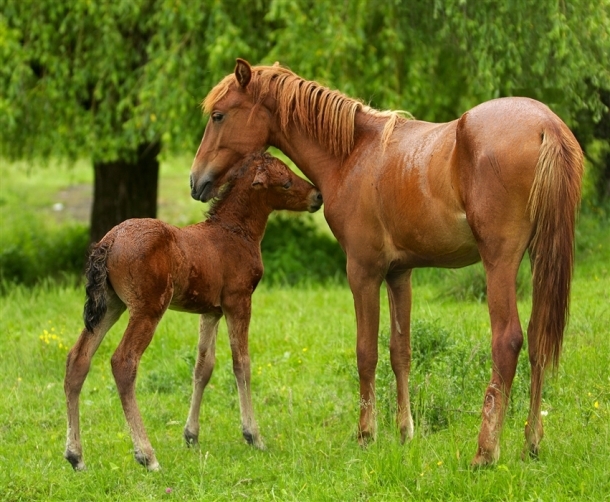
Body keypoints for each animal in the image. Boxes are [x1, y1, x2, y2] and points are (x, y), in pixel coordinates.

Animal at [63, 153, 324, 470]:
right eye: (285, 182)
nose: (317, 196)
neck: (235, 233)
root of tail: (108, 242)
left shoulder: (211, 311)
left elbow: (204, 366)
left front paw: (191, 436)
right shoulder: (238, 301)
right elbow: (242, 363)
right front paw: (253, 436)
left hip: (111, 304)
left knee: (78, 358)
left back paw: (75, 455)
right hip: (148, 308)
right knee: (123, 361)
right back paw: (147, 455)